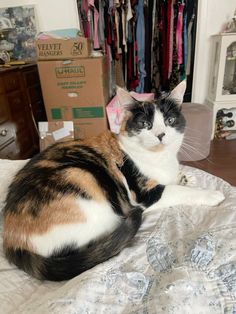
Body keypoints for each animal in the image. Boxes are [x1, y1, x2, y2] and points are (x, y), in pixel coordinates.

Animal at [3, 81, 225, 282]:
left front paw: (186, 176)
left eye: (170, 120)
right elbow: (178, 191)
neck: (161, 158)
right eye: (145, 124)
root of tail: (12, 239)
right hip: (83, 181)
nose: (161, 135)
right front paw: (212, 194)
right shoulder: (144, 194)